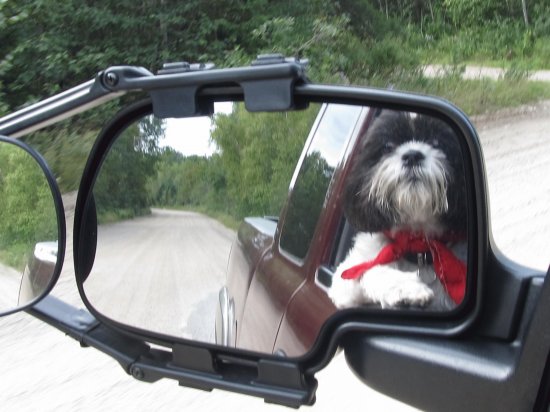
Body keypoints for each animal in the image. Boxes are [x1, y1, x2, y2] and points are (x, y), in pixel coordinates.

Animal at [330, 109, 468, 308]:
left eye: (437, 143)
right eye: (388, 146)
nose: (412, 155)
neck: (417, 246)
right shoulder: (347, 278)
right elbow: (365, 270)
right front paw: (408, 288)